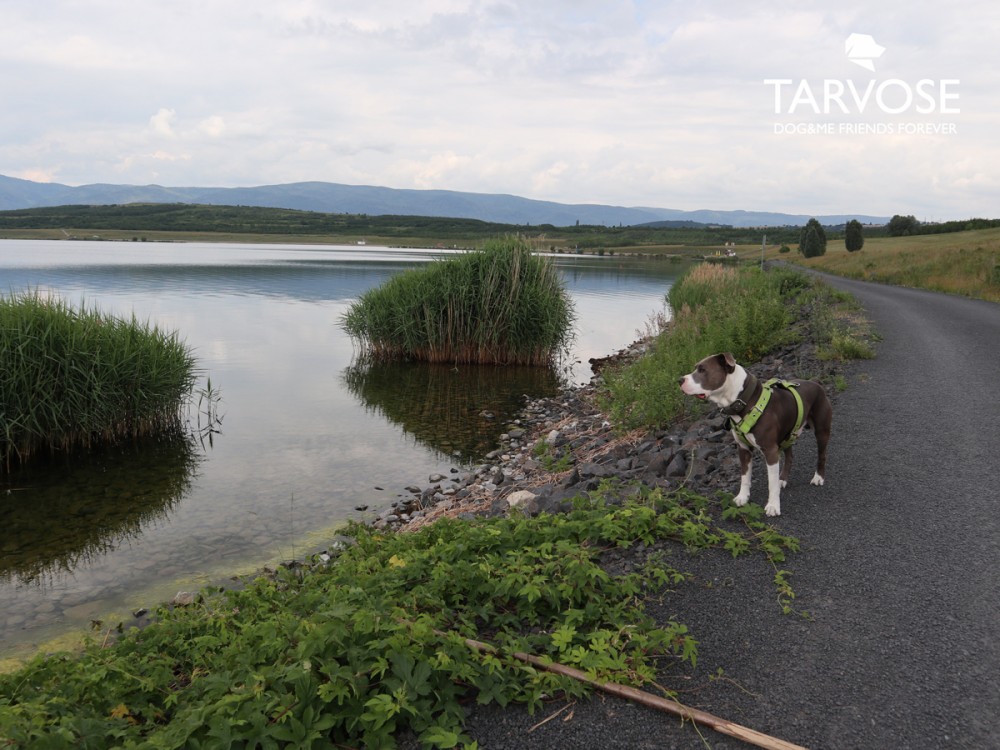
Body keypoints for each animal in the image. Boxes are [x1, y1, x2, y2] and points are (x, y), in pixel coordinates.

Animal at [680, 352, 828, 516]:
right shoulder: (743, 449)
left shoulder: (770, 451)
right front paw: (742, 497)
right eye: (696, 368)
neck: (745, 402)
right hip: (787, 433)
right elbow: (745, 476)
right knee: (789, 455)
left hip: (822, 430)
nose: (680, 380)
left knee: (822, 455)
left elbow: (771, 483)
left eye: (702, 370)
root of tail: (815, 383)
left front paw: (773, 506)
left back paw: (818, 477)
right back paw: (782, 479)